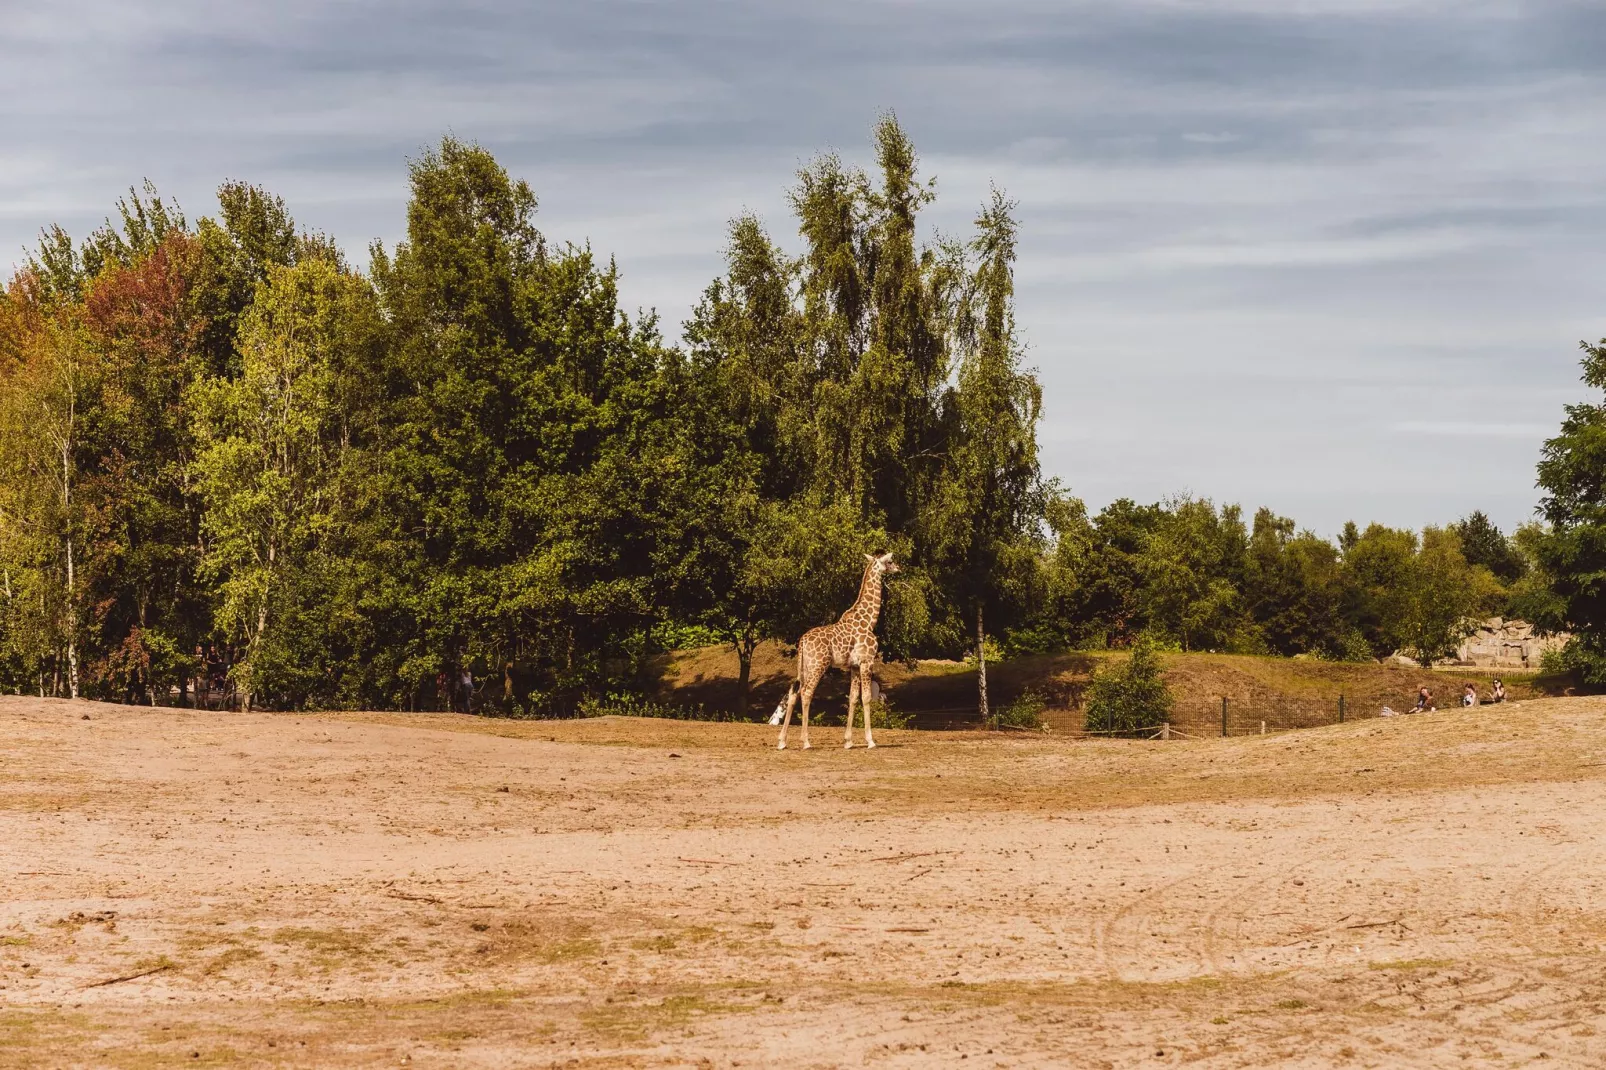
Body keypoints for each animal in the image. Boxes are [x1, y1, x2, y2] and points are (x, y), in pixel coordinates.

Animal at [780, 549, 905, 748]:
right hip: (819, 665)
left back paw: (782, 741)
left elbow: (852, 698)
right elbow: (866, 697)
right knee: (806, 692)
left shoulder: (853, 665)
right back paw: (806, 741)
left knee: (793, 693)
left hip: (804, 666)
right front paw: (870, 740)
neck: (869, 621)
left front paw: (848, 741)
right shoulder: (867, 661)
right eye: (890, 561)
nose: (899, 568)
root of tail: (803, 641)